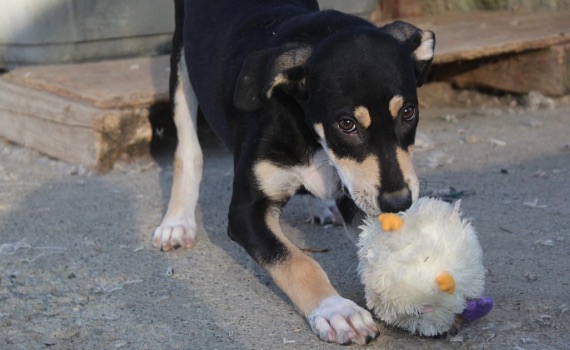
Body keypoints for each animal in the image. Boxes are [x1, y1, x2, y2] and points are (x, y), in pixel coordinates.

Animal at [151, 0, 430, 344]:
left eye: (408, 112)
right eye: (346, 124)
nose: (398, 202)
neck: (308, 129)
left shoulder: (358, 188)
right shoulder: (245, 212)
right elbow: (298, 261)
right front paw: (336, 310)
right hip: (181, 62)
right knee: (188, 149)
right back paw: (177, 222)